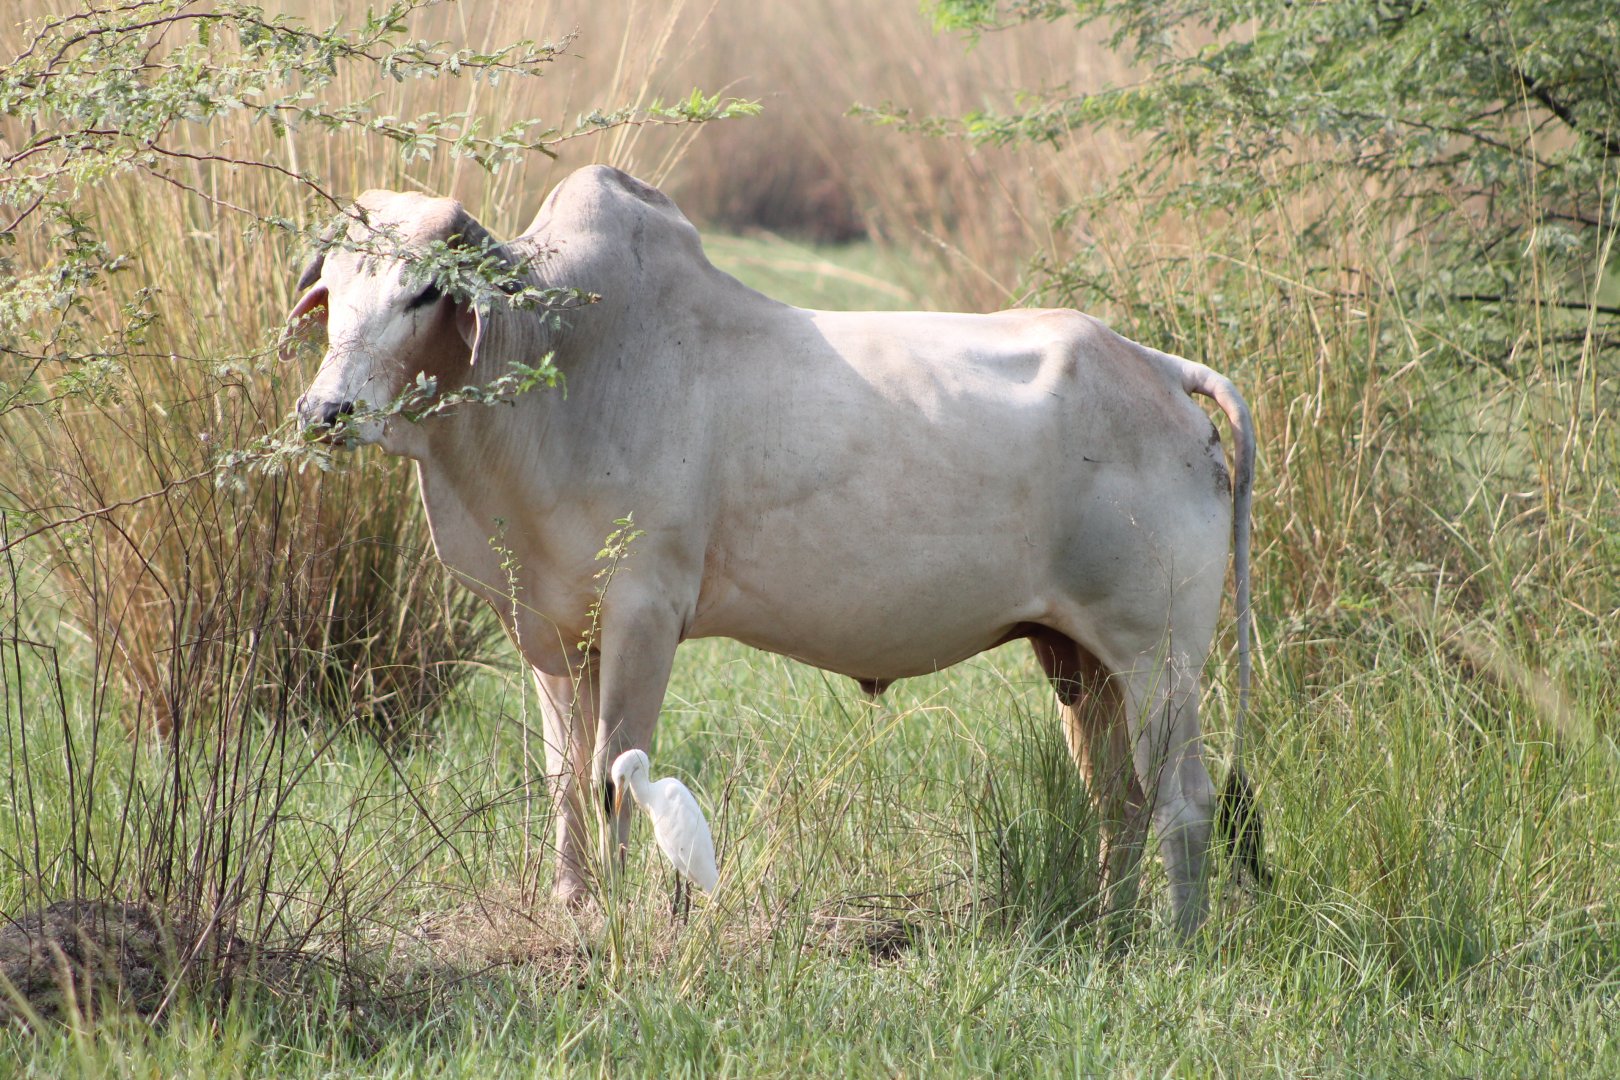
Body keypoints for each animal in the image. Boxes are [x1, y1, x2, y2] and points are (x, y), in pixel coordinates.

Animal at [285, 165, 1262, 936]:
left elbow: (612, 775)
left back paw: (1178, 944)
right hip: (1077, 658)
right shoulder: (554, 632)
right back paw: (1110, 925)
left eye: (423, 291)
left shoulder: (645, 614)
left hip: (1160, 657)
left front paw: (621, 913)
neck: (558, 366)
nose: (326, 410)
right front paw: (574, 903)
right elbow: (563, 777)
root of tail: (1156, 366)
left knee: (1182, 800)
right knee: (1118, 800)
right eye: (335, 285)